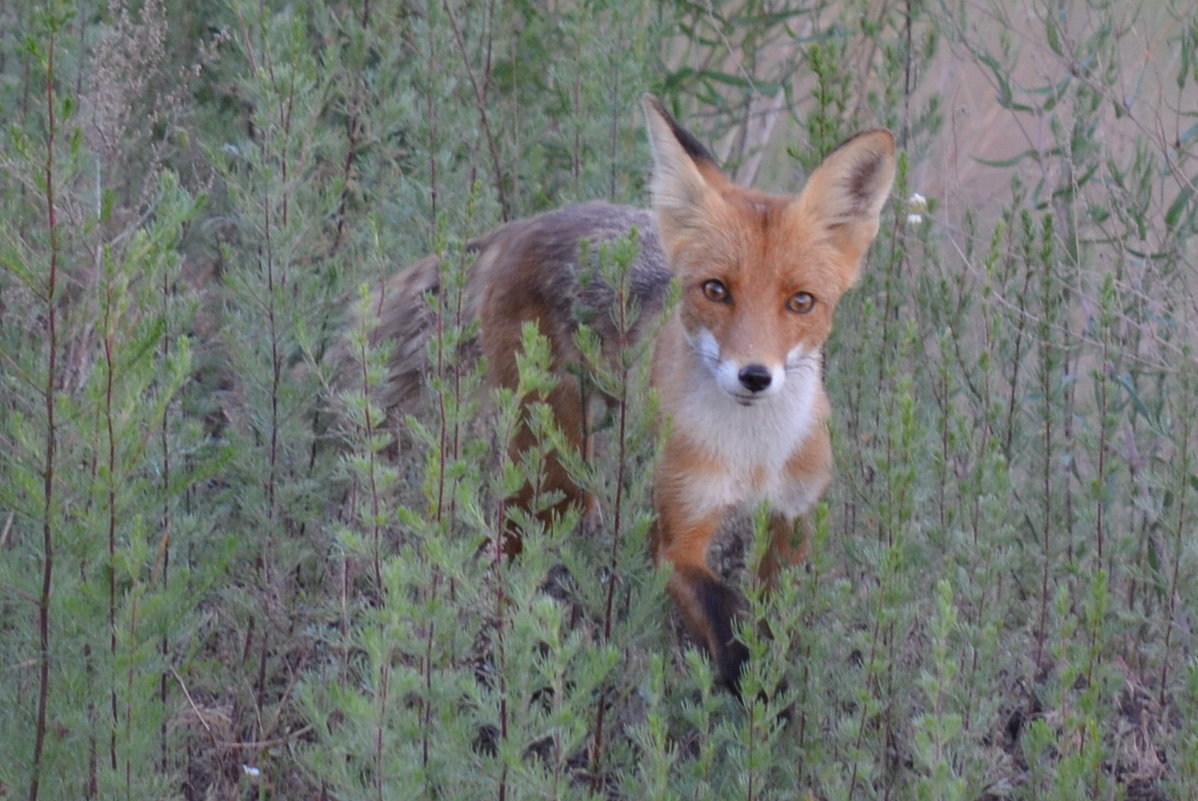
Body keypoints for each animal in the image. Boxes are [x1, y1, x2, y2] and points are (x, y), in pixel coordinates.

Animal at [368, 96, 896, 689]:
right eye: (715, 290)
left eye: (801, 302)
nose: (755, 376)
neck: (753, 455)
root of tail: (533, 220)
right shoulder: (678, 532)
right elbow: (726, 617)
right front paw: (752, 691)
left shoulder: (790, 524)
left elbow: (773, 616)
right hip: (553, 474)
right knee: (514, 550)